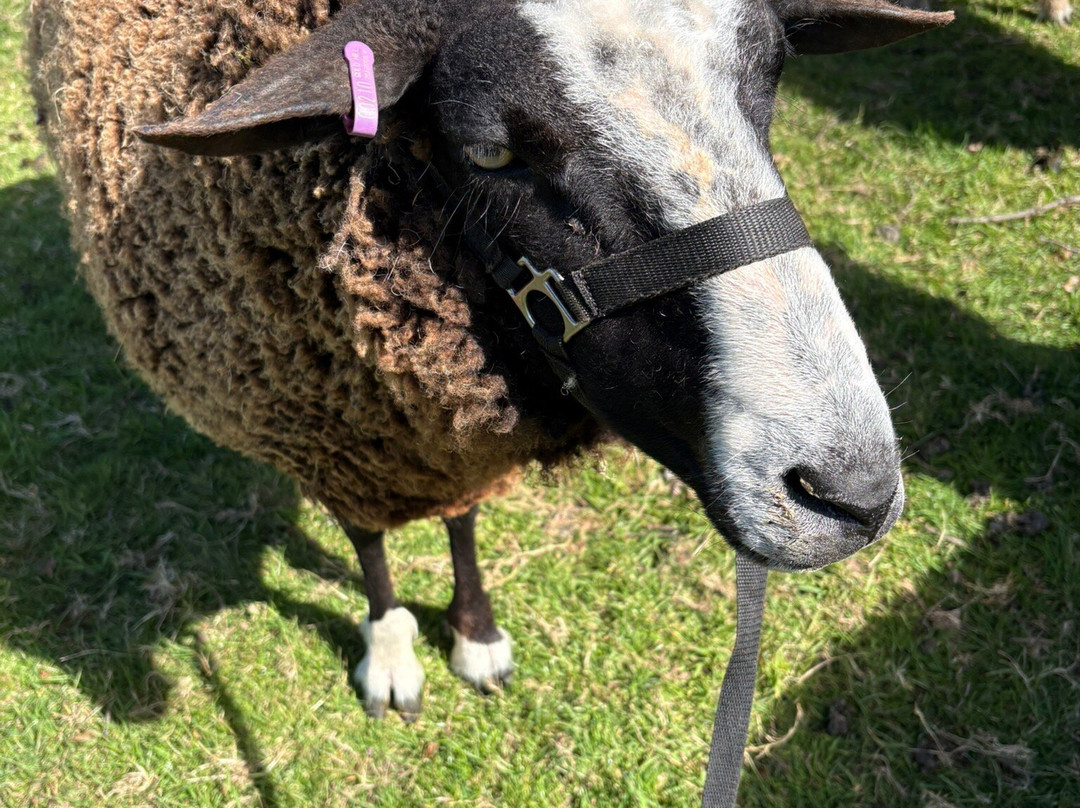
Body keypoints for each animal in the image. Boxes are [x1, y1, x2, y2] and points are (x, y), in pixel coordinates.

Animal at [30, 0, 952, 719]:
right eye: (487, 151)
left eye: (769, 85)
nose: (849, 493)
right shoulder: (337, 436)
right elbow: (369, 542)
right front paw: (390, 655)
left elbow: (463, 521)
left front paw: (474, 638)